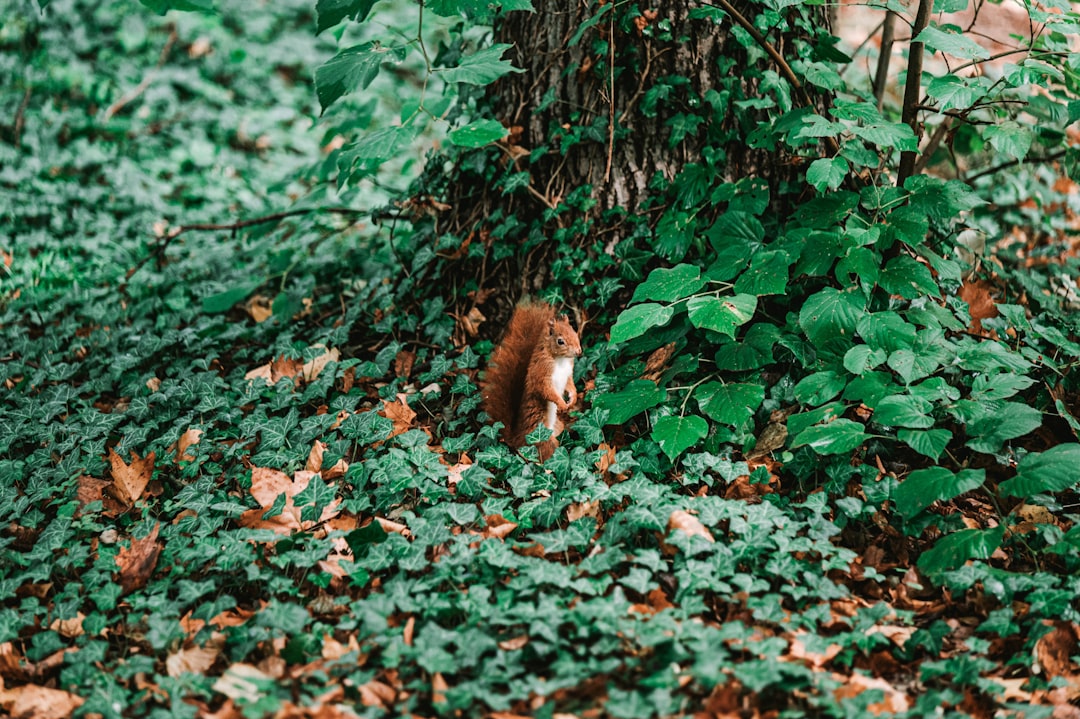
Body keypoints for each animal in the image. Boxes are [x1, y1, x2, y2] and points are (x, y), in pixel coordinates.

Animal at [483, 300, 583, 459]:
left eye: (574, 331)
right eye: (560, 341)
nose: (579, 351)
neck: (560, 360)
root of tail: (515, 438)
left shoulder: (568, 373)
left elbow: (570, 385)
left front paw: (573, 398)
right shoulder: (541, 373)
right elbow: (546, 390)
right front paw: (561, 403)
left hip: (557, 427)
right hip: (541, 436)